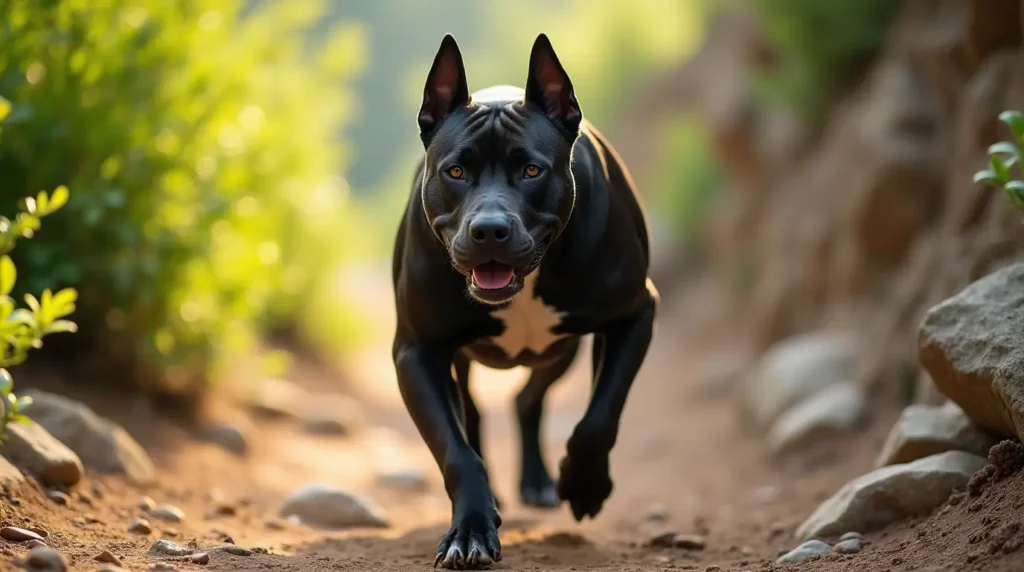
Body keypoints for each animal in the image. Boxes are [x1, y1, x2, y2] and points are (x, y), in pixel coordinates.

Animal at [391, 34, 655, 568]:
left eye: (532, 170)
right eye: (455, 171)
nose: (490, 229)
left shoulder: (635, 315)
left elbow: (599, 416)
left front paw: (584, 484)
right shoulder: (416, 351)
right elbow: (455, 450)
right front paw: (471, 528)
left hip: (559, 351)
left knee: (528, 399)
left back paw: (539, 482)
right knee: (474, 413)